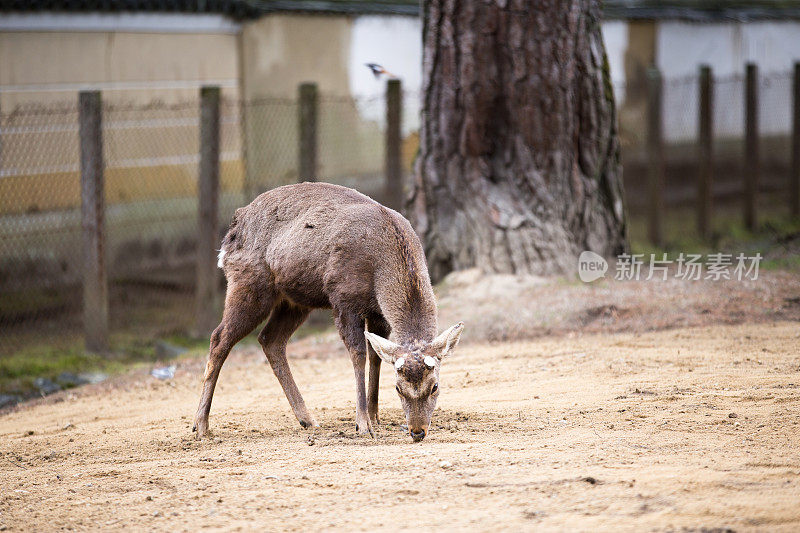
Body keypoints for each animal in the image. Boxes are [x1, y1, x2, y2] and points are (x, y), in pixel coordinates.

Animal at [194, 182, 466, 440]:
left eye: (435, 386)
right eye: (398, 388)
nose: (418, 431)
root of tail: (231, 232)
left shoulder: (378, 313)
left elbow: (376, 356)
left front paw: (375, 417)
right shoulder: (344, 299)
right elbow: (358, 354)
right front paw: (363, 424)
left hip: (295, 302)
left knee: (270, 339)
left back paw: (307, 419)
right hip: (249, 284)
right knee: (219, 338)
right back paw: (201, 425)